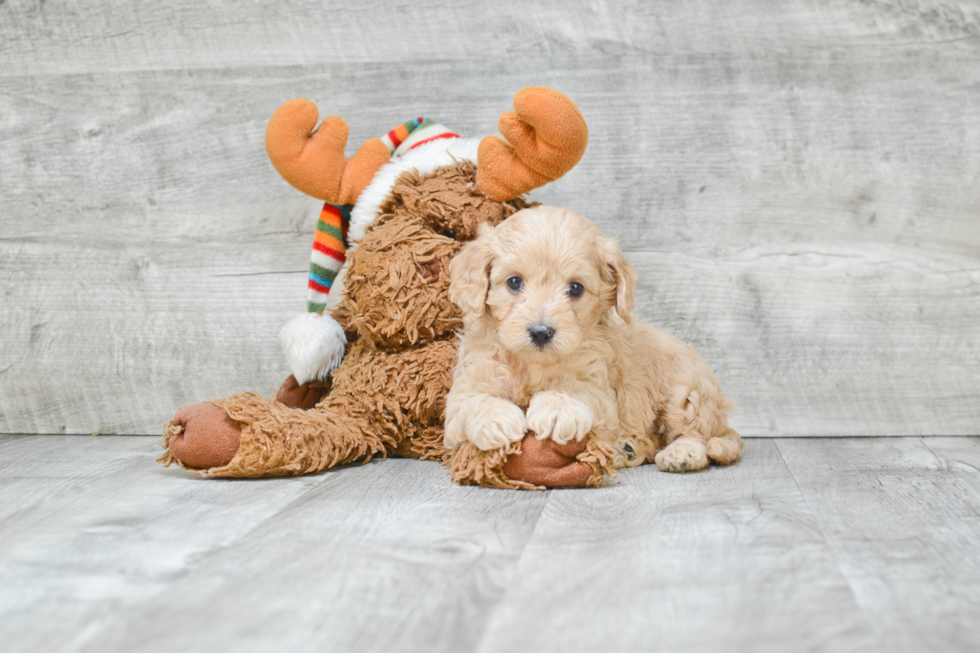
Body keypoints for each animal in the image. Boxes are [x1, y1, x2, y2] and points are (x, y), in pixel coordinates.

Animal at [444, 206, 744, 472]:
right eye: (514, 282)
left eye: (575, 288)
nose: (541, 332)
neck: (533, 364)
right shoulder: (467, 385)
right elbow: (470, 401)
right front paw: (497, 419)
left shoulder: (601, 389)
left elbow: (574, 388)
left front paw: (556, 408)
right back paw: (628, 448)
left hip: (686, 393)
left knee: (696, 435)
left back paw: (681, 454)